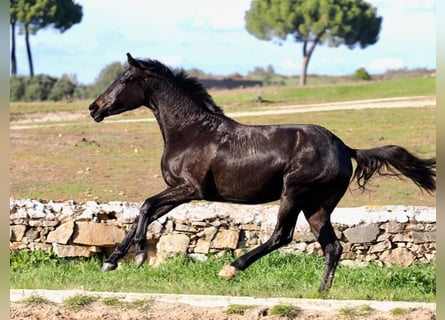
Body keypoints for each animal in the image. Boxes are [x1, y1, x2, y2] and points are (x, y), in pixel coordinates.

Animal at [88, 53, 436, 292]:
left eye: (124, 80)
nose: (94, 108)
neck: (191, 132)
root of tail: (345, 148)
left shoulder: (190, 189)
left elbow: (146, 206)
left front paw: (139, 256)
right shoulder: (177, 192)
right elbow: (143, 213)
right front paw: (112, 261)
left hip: (294, 193)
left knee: (282, 235)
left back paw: (231, 268)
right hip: (318, 205)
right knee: (332, 247)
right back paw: (321, 292)